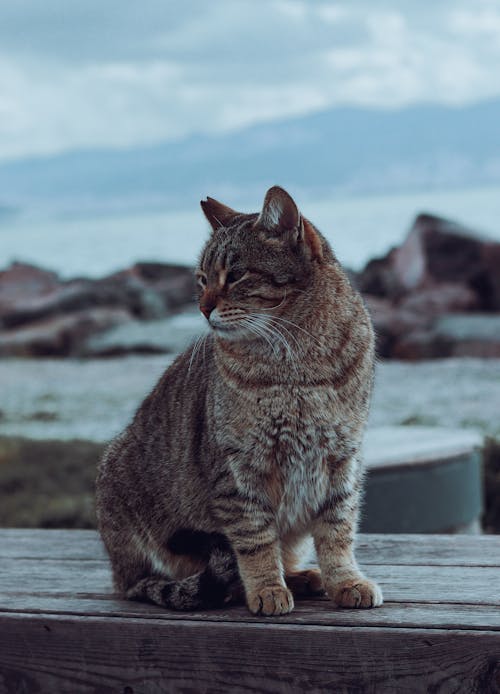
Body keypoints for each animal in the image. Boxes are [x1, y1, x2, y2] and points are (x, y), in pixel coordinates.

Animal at [94, 185, 382, 616]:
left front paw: (345, 581)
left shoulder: (342, 458)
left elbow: (338, 531)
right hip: (119, 490)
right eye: (202, 279)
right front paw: (266, 589)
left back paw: (300, 577)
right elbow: (255, 541)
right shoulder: (238, 470)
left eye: (236, 274)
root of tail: (118, 574)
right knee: (153, 579)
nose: (202, 307)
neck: (296, 363)